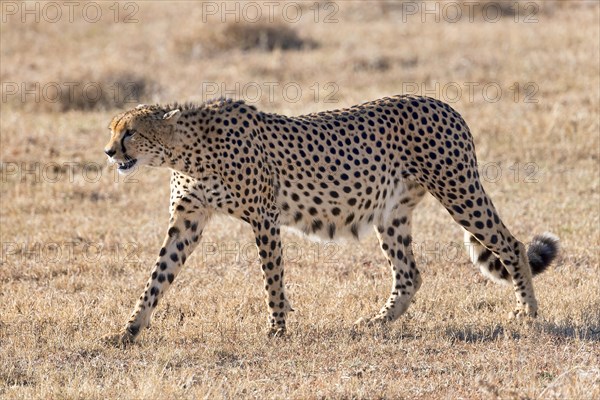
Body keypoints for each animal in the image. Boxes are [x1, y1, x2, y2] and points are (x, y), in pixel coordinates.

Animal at [102, 94, 556, 344]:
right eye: (112, 129)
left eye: (130, 132)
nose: (109, 152)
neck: (187, 149)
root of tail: (444, 104)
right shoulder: (187, 220)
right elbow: (157, 277)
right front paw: (128, 331)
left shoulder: (264, 217)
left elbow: (272, 279)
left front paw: (277, 329)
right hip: (391, 213)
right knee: (410, 273)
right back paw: (376, 322)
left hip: (458, 191)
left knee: (511, 244)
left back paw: (528, 314)